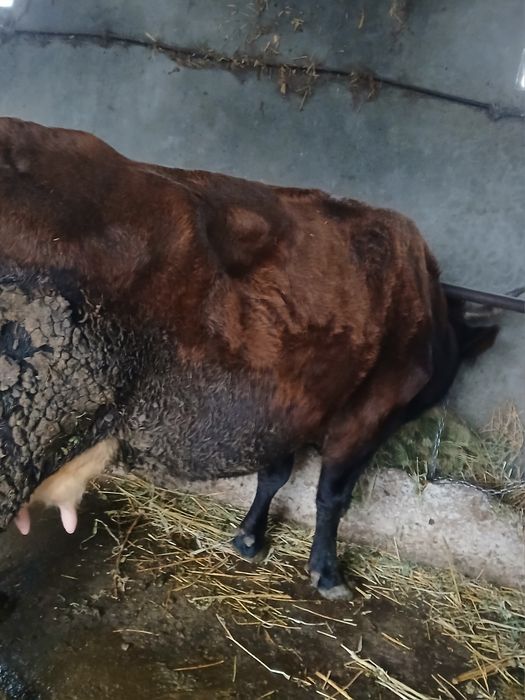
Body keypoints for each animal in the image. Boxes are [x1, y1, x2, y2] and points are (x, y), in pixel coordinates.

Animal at [0, 118, 497, 599]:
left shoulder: (288, 406)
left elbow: (274, 473)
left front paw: (248, 537)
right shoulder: (369, 414)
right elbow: (331, 495)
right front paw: (326, 571)